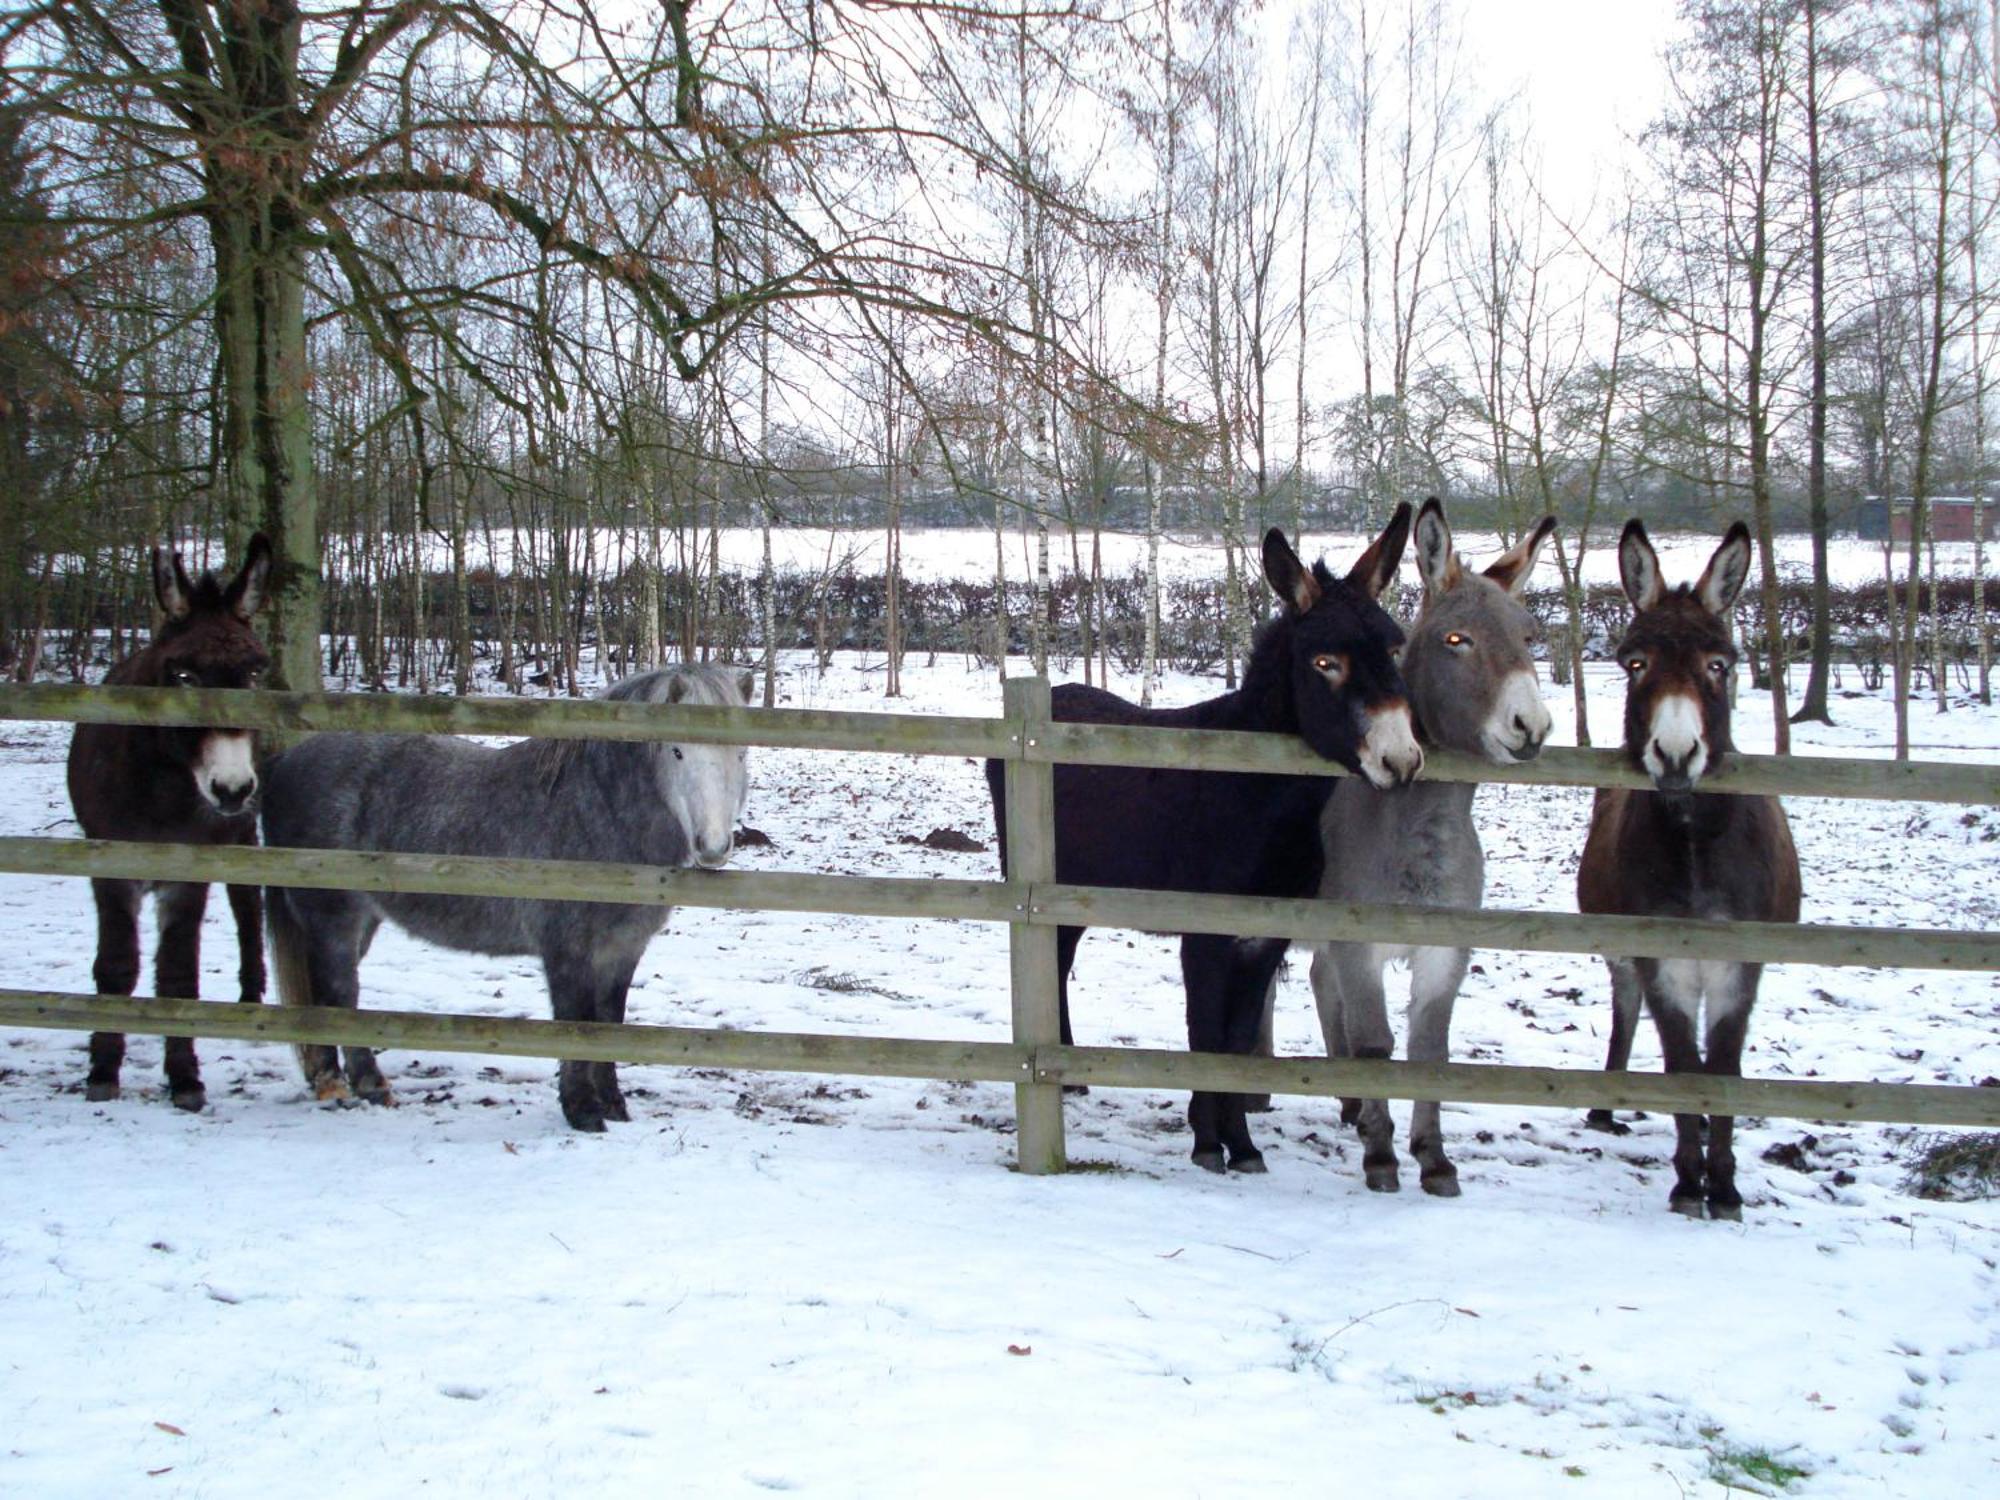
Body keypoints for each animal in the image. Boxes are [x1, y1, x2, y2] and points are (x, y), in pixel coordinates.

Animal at [262, 664, 752, 1136]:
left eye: (742, 753)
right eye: (677, 751)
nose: (712, 846)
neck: (593, 812)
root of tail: (285, 761)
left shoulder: (622, 949)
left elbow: (606, 1022)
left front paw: (614, 1106)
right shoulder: (567, 950)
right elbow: (575, 1023)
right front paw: (583, 1112)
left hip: (363, 920)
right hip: (332, 918)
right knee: (339, 992)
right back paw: (358, 1086)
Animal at [1296, 502, 1544, 1200]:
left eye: (1530, 637)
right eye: (1456, 641)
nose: (1531, 728)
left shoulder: (1445, 951)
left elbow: (1430, 1051)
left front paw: (1433, 1158)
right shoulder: (1361, 945)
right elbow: (1377, 1042)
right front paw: (1382, 1156)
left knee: (1320, 979)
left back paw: (1350, 1104)